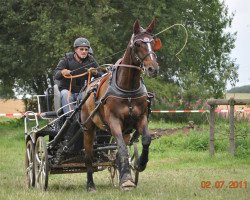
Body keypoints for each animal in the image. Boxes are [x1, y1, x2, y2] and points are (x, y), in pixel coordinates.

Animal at [81, 19, 161, 191]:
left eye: (153, 42)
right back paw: (90, 185)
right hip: (88, 128)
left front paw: (139, 165)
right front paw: (127, 181)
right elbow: (122, 148)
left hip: (126, 130)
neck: (128, 89)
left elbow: (146, 139)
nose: (153, 69)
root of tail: (87, 88)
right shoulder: (114, 121)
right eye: (137, 43)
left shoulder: (140, 118)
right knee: (88, 155)